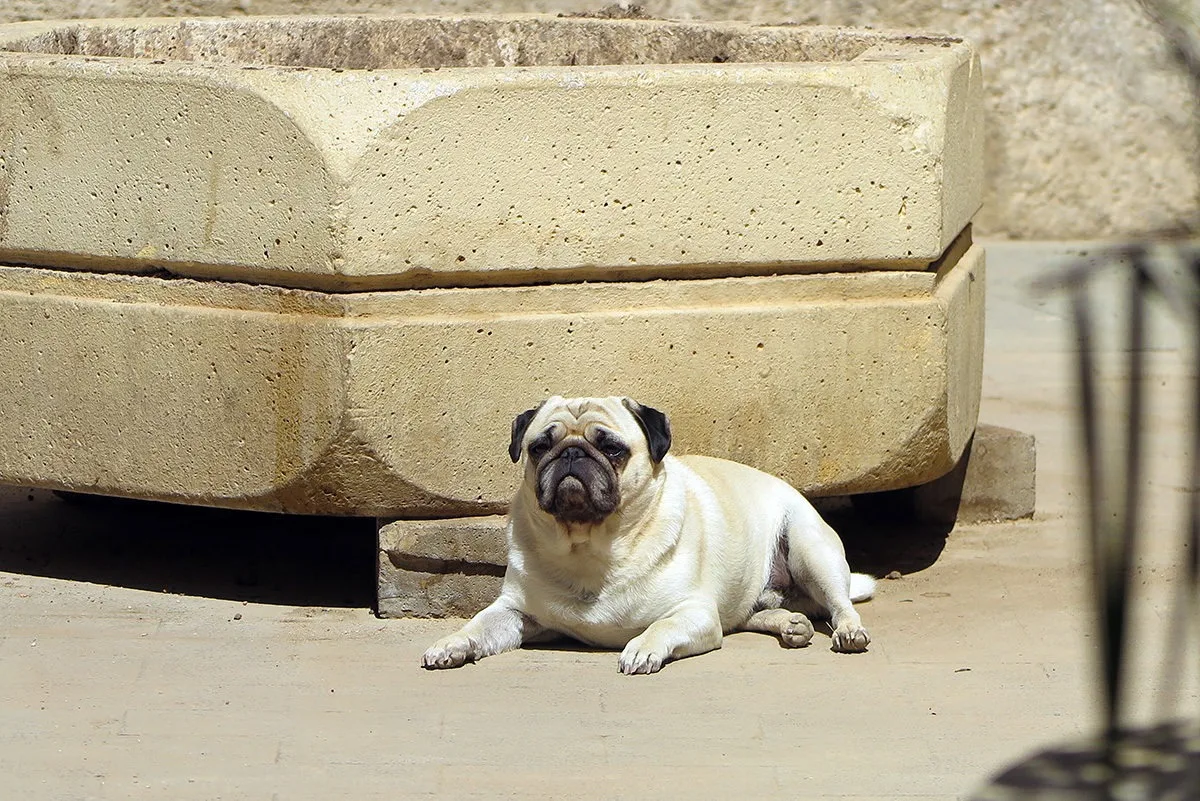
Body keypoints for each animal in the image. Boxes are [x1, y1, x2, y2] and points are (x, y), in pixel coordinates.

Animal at [422, 398, 873, 671]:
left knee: (839, 606)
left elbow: (662, 626)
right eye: (539, 447)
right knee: (757, 611)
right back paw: (791, 624)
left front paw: (642, 647)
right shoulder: (516, 612)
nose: (571, 452)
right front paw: (452, 643)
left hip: (809, 548)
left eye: (612, 449)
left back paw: (847, 632)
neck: (589, 546)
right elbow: (478, 626)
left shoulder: (695, 613)